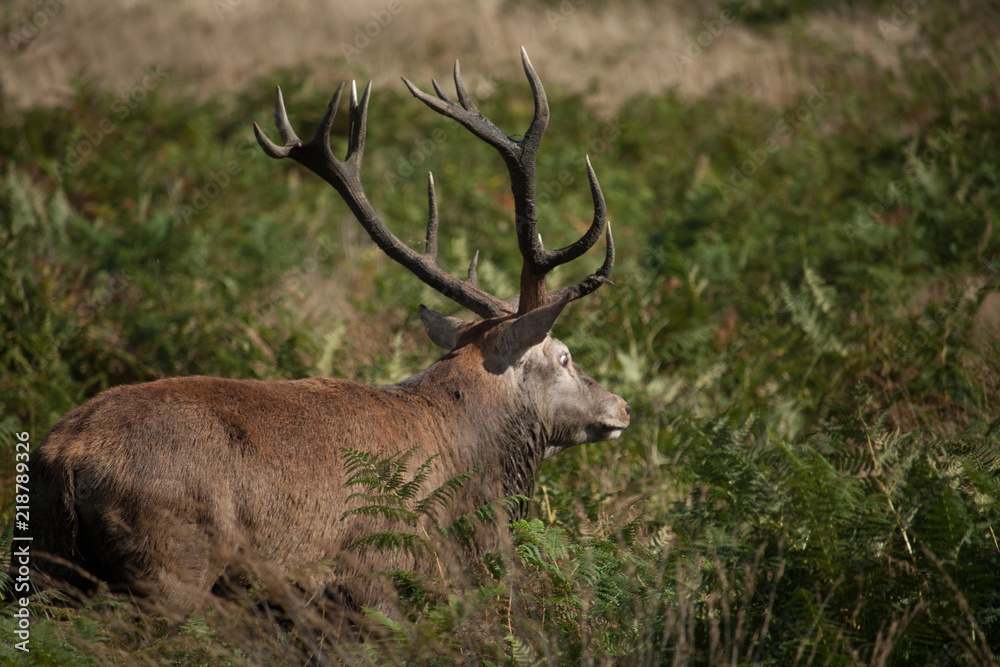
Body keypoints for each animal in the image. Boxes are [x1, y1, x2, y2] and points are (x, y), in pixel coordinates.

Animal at [12, 49, 630, 620]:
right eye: (565, 356)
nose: (622, 406)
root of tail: (62, 458)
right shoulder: (376, 577)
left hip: (50, 568)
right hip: (168, 565)